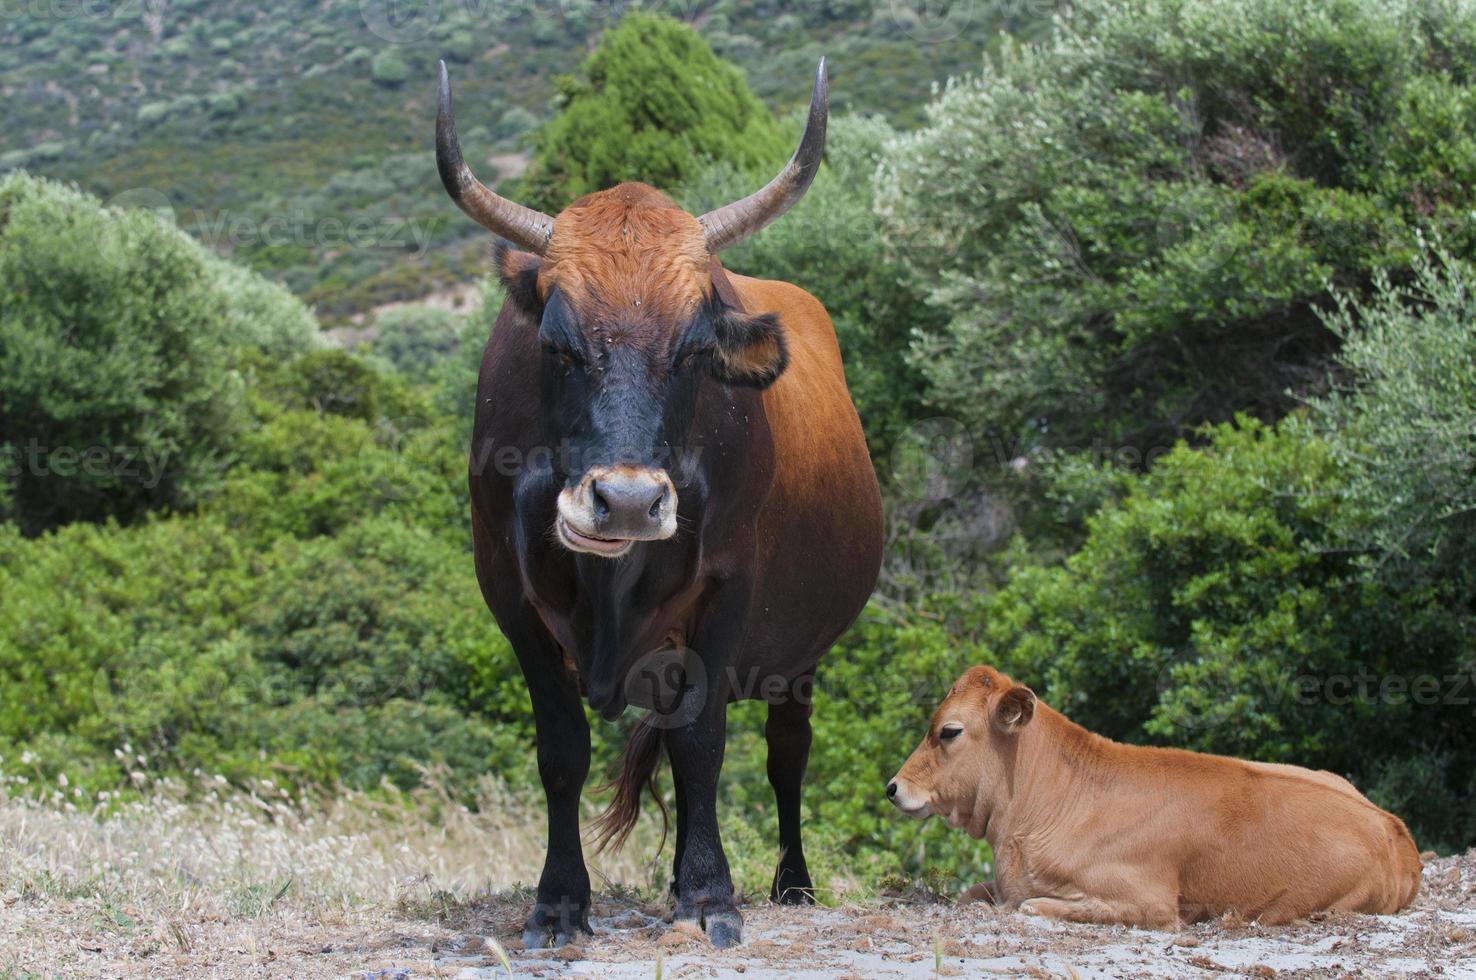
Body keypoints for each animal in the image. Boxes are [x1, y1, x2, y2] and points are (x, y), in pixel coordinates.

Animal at [430, 55, 879, 950]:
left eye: (698, 346)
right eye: (557, 341)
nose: (629, 503)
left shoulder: (728, 590)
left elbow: (705, 743)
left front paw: (710, 894)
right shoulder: (508, 593)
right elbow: (562, 750)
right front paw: (560, 901)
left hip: (802, 657)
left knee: (785, 753)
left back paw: (790, 882)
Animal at [879, 661, 1422, 932]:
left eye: (949, 731)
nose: (892, 787)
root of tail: (1395, 830)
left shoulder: (1148, 901)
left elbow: (1031, 906)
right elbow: (972, 894)